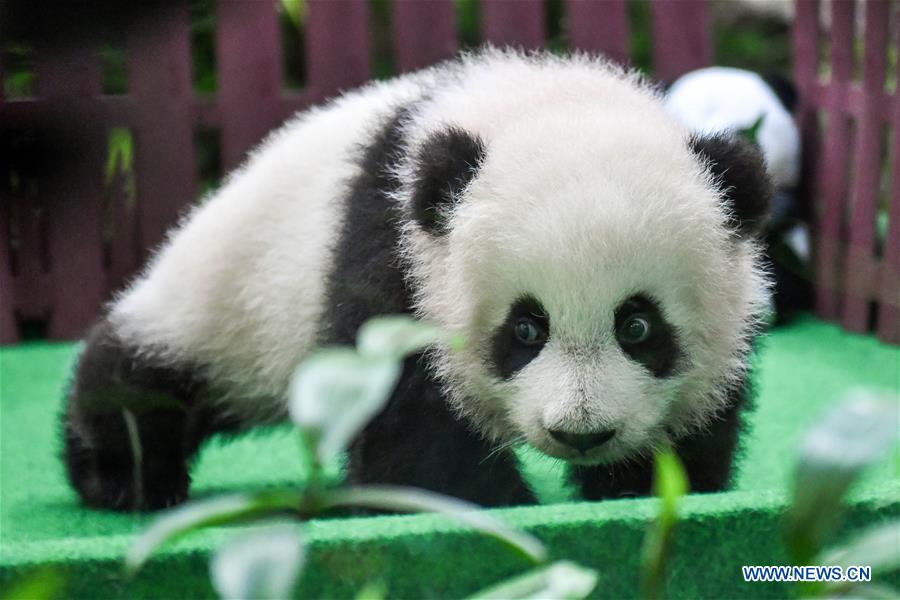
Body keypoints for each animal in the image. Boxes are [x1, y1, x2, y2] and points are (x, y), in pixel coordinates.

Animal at [63, 49, 772, 511]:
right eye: (525, 328)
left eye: (638, 326)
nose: (581, 433)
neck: (540, 101)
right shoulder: (394, 242)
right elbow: (401, 408)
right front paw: (482, 502)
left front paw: (637, 485)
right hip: (231, 292)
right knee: (142, 376)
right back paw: (124, 477)